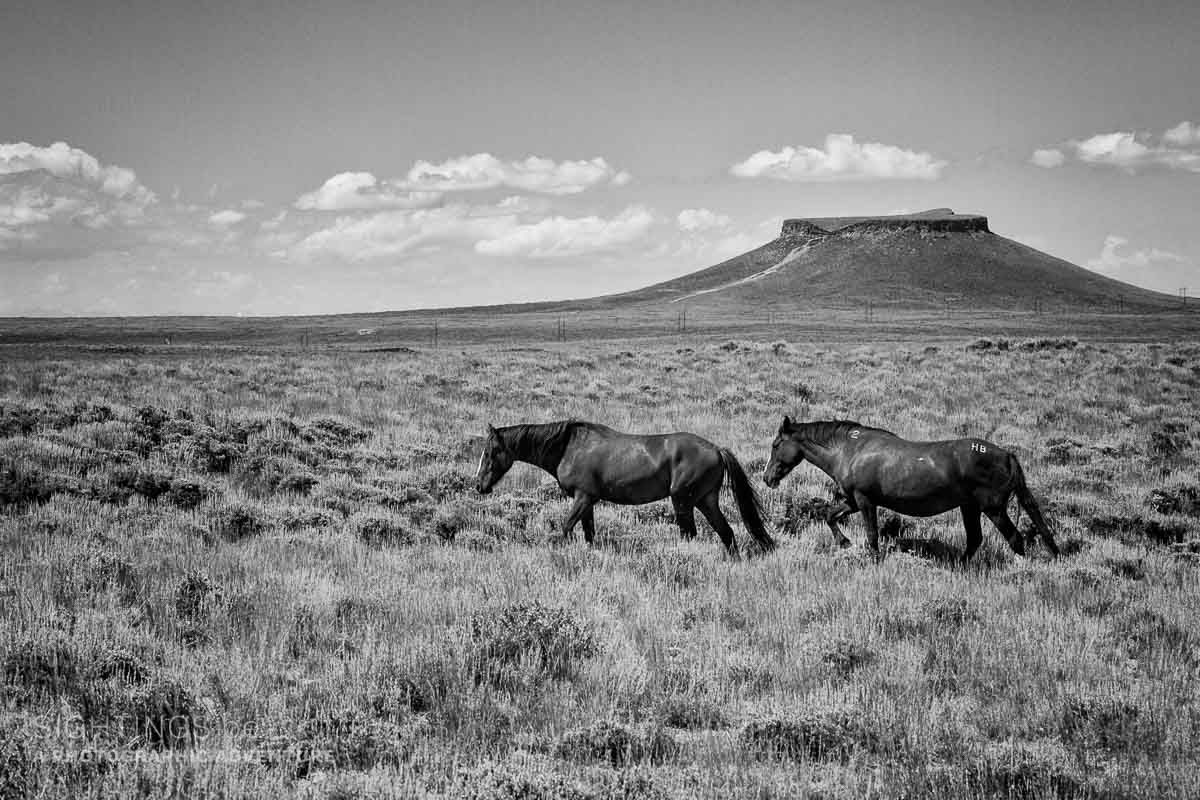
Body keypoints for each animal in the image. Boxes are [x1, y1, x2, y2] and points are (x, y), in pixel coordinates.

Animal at [475, 420, 775, 556]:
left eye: (490, 452)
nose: (479, 486)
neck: (568, 447)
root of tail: (716, 449)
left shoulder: (583, 498)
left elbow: (565, 528)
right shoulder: (588, 503)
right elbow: (589, 534)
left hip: (683, 501)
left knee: (691, 534)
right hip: (706, 500)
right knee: (726, 533)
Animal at [761, 416, 1058, 561]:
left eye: (776, 444)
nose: (767, 477)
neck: (850, 450)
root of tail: (1007, 455)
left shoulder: (865, 501)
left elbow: (872, 535)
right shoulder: (853, 501)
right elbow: (829, 515)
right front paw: (844, 542)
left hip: (993, 508)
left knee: (1015, 539)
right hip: (970, 507)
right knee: (975, 540)